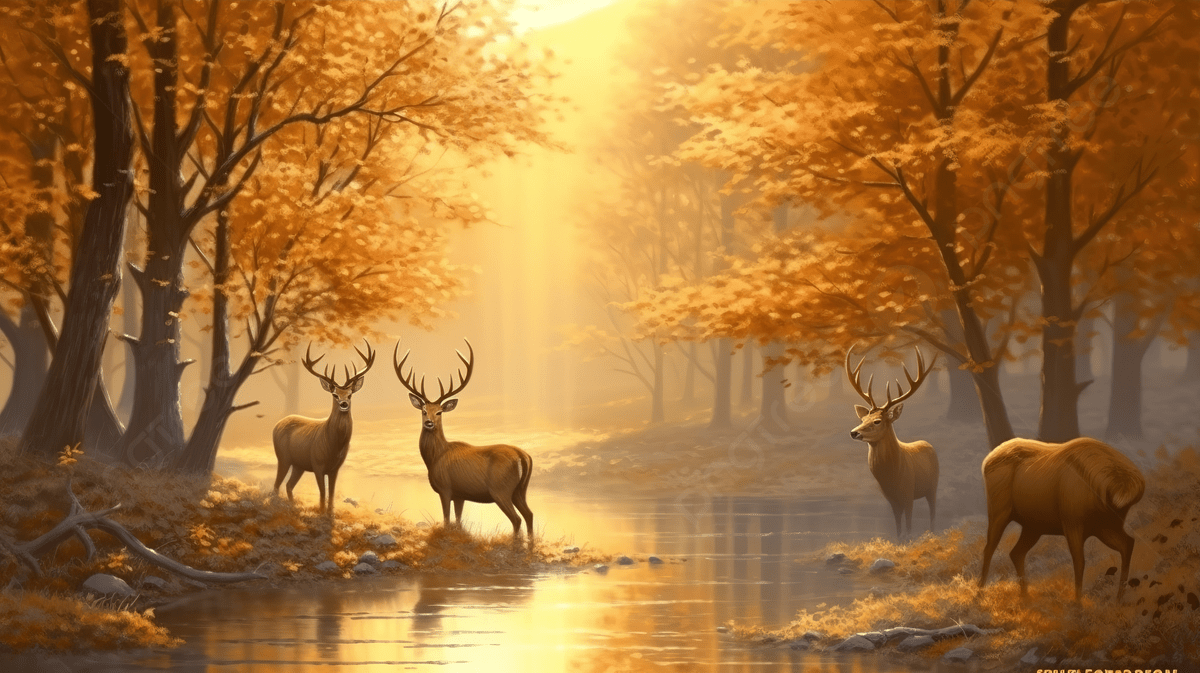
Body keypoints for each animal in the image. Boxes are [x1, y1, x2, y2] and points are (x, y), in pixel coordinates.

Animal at [272, 340, 375, 514]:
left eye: (350, 394)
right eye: (334, 394)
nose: (344, 404)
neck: (333, 446)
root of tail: (277, 425)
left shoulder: (335, 468)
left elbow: (331, 494)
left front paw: (330, 513)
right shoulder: (317, 464)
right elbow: (322, 492)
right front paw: (321, 512)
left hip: (298, 465)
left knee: (288, 485)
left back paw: (293, 507)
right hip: (283, 457)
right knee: (276, 485)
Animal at [393, 339, 535, 537]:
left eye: (439, 412)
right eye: (423, 410)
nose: (429, 423)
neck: (436, 457)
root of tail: (523, 457)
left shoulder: (445, 488)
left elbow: (446, 519)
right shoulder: (460, 495)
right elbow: (458, 521)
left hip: (501, 489)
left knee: (517, 519)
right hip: (520, 490)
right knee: (529, 514)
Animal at [845, 345, 939, 540]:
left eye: (877, 421)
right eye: (863, 418)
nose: (854, 432)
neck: (892, 477)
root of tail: (927, 443)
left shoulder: (908, 493)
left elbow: (909, 527)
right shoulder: (891, 499)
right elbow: (898, 529)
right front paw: (899, 540)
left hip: (933, 486)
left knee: (933, 513)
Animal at [977, 437, 1144, 602]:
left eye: (1124, 510)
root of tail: (986, 461)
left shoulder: (1103, 527)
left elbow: (1126, 544)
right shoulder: (1072, 523)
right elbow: (1079, 561)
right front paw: (1077, 604)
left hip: (1034, 527)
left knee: (1016, 553)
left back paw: (1025, 596)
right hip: (1000, 512)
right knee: (989, 549)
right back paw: (980, 593)